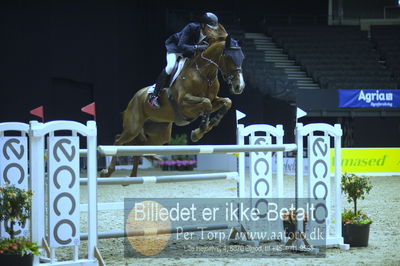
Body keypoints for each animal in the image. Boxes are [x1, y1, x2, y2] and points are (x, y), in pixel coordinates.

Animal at [100, 34, 245, 178]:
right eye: (229, 57)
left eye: (242, 57)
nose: (239, 86)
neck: (204, 74)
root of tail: (135, 97)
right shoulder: (184, 103)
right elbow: (206, 103)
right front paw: (199, 131)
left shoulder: (213, 100)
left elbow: (226, 102)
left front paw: (210, 124)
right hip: (133, 127)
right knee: (118, 141)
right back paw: (107, 172)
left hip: (159, 135)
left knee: (139, 146)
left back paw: (132, 176)